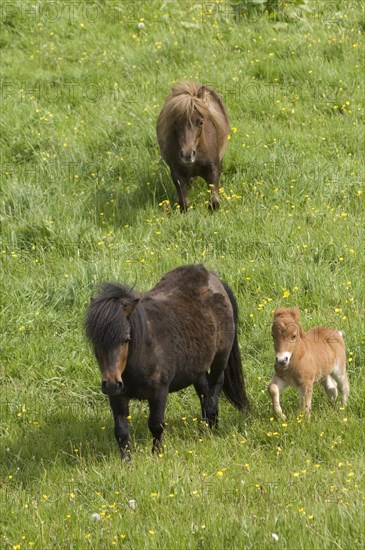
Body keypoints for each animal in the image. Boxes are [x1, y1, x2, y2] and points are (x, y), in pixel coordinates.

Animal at [156, 83, 228, 212]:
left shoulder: (213, 171)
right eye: (176, 122)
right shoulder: (177, 175)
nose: (187, 154)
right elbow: (185, 203)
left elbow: (215, 201)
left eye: (200, 122)